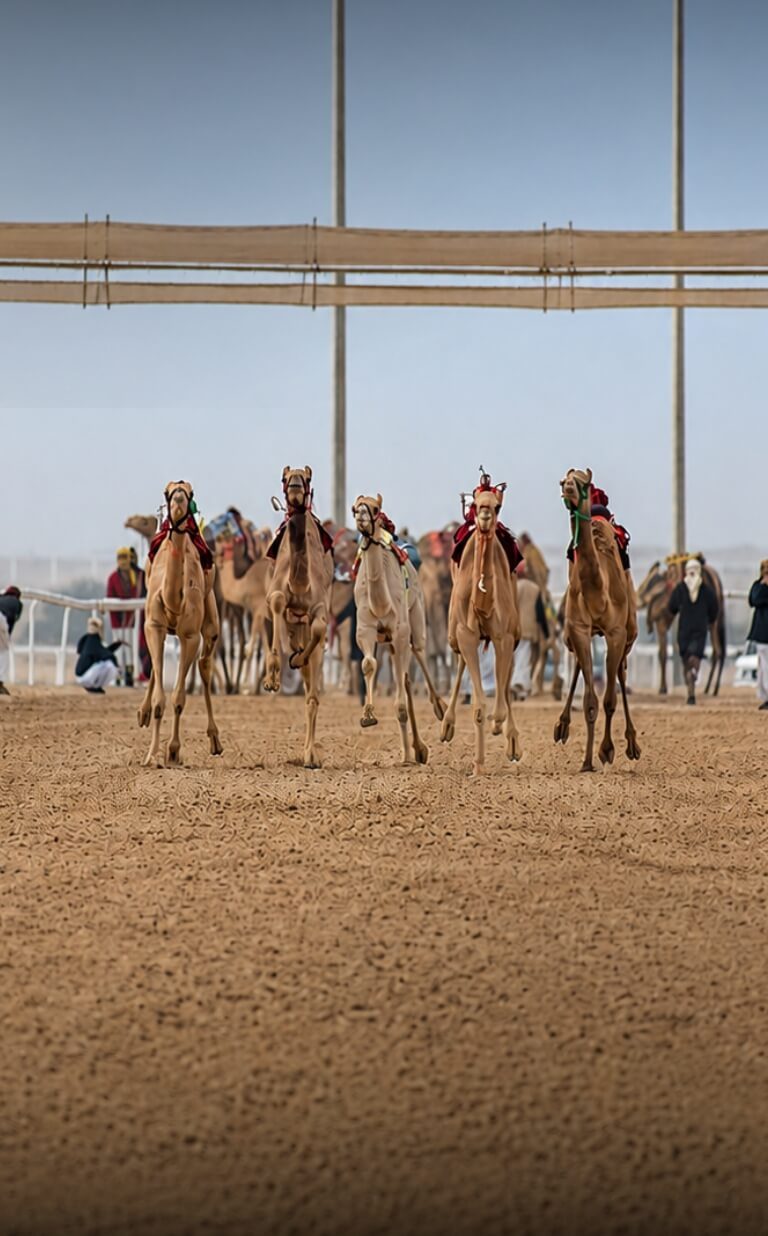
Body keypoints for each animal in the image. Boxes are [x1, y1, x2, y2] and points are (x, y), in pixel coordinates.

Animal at [138, 481, 222, 767]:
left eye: (190, 492)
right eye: (167, 491)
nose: (178, 500)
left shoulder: (190, 636)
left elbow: (178, 698)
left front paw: (173, 751)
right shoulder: (153, 626)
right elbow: (160, 699)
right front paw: (153, 755)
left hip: (210, 615)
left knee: (206, 664)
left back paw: (215, 740)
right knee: (156, 667)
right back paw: (142, 713)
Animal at [351, 495, 445, 764]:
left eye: (375, 508)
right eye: (354, 507)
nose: (361, 516)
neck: (380, 602)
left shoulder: (400, 631)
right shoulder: (366, 630)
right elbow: (368, 664)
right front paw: (368, 716)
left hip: (417, 615)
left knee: (419, 653)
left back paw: (440, 710)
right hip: (391, 641)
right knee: (405, 677)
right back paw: (414, 750)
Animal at [439, 482, 522, 774]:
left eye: (497, 505)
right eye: (476, 503)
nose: (485, 516)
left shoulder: (504, 637)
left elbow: (498, 698)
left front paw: (500, 727)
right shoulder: (465, 634)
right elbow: (478, 706)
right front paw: (477, 766)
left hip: (515, 633)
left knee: (505, 683)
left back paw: (512, 742)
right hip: (454, 634)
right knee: (462, 667)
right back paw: (447, 726)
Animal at [554, 468, 640, 773]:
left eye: (583, 482)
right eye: (563, 480)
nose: (567, 488)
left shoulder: (615, 632)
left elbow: (610, 699)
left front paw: (607, 751)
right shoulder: (579, 629)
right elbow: (591, 700)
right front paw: (587, 762)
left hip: (630, 632)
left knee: (621, 674)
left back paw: (632, 744)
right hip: (574, 634)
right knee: (580, 666)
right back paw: (562, 726)